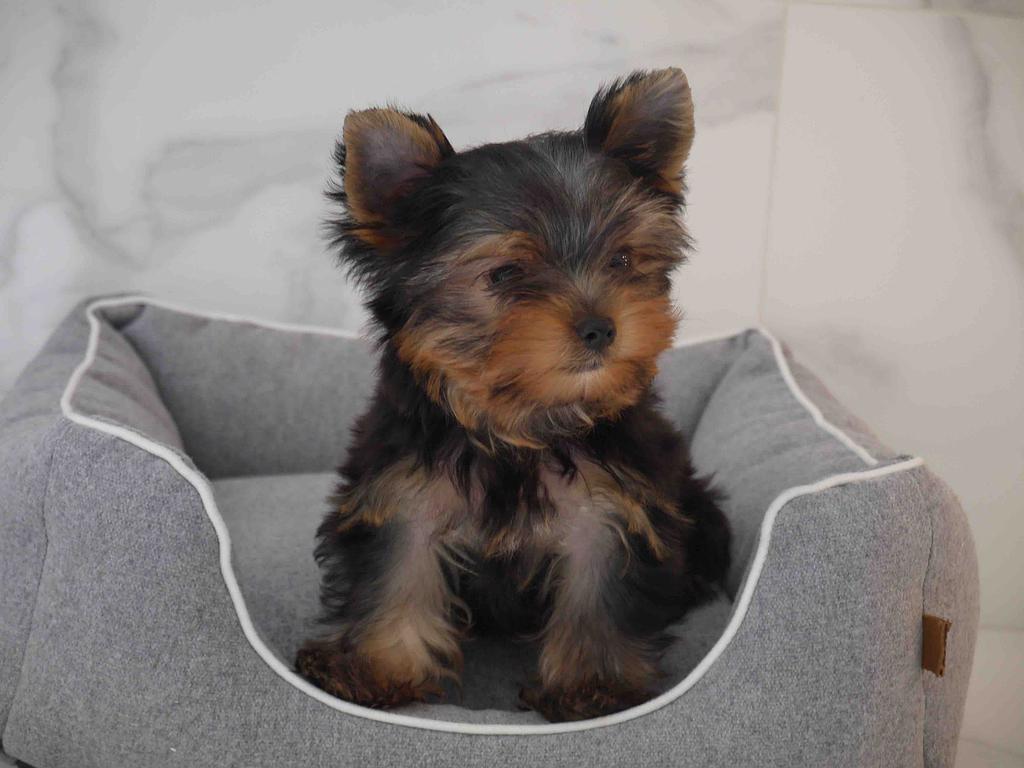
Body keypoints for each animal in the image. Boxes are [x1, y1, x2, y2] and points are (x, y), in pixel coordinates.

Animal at [295, 67, 731, 723]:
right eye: (505, 275)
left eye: (622, 258)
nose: (601, 327)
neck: (519, 425)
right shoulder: (403, 495)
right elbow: (396, 575)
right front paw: (372, 668)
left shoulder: (612, 509)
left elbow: (598, 595)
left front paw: (591, 686)